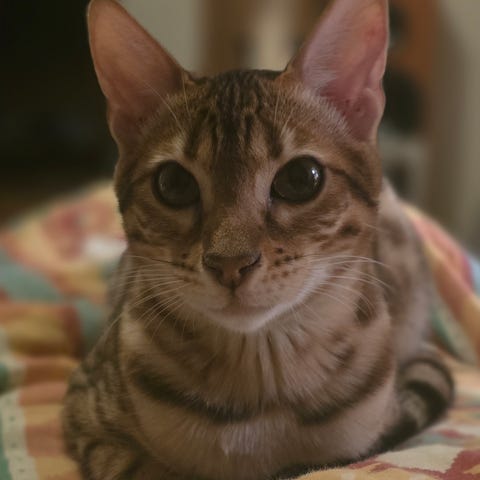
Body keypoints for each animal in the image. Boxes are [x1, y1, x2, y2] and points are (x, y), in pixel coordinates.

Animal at [62, 0, 454, 479]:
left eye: (301, 178)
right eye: (173, 184)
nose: (230, 264)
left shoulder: (362, 441)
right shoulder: (88, 417)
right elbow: (141, 468)